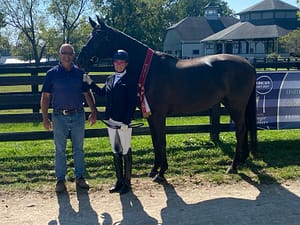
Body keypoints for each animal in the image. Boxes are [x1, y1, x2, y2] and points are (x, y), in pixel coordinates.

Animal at [78, 16, 258, 183]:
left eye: (100, 36)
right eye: (90, 35)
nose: (80, 59)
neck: (149, 70)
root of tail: (249, 65)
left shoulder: (159, 115)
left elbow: (161, 141)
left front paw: (161, 172)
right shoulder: (150, 115)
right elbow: (155, 141)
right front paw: (154, 169)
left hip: (235, 106)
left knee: (241, 130)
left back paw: (233, 166)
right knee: (244, 129)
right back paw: (242, 160)